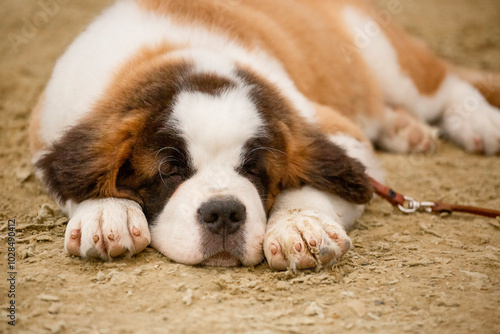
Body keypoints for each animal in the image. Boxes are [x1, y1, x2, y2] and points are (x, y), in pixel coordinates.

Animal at [30, 0, 500, 272]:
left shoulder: (333, 130)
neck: (170, 55)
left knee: (446, 82)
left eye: (255, 171)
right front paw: (105, 212)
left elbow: (318, 180)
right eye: (169, 170)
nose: (223, 213)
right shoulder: (49, 124)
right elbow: (73, 171)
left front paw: (300, 226)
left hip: (388, 60)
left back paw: (479, 123)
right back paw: (406, 130)